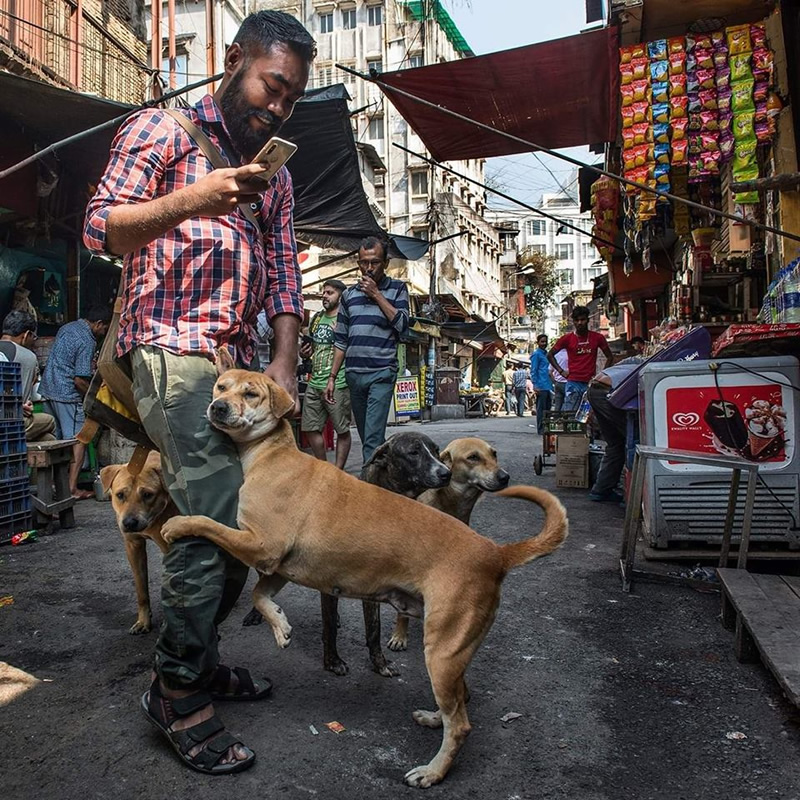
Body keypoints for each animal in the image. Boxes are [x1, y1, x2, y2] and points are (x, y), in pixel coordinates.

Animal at [99, 454, 177, 636]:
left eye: (147, 494)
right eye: (120, 495)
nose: (129, 523)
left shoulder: (170, 546)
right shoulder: (133, 546)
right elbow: (141, 589)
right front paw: (144, 621)